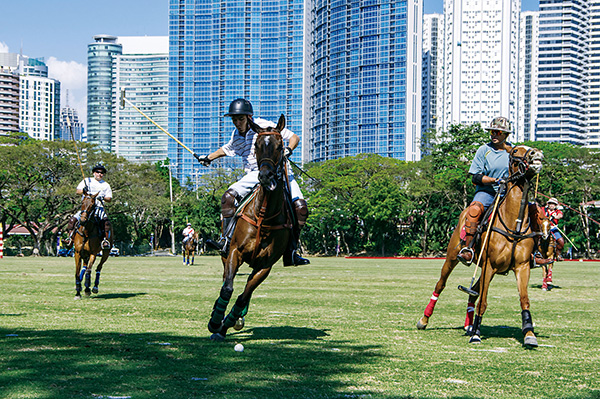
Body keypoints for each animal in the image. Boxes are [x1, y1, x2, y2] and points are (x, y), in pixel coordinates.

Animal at [207, 114, 294, 342]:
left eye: (280, 146)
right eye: (256, 145)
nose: (265, 176)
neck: (263, 215)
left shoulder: (265, 266)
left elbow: (243, 296)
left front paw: (226, 324)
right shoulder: (234, 252)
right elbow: (227, 289)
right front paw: (215, 323)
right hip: (226, 253)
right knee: (225, 281)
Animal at [418, 146, 544, 346]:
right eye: (515, 151)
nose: (536, 153)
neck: (513, 223)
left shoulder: (522, 266)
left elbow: (524, 300)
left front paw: (529, 334)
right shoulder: (489, 265)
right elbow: (483, 301)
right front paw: (476, 333)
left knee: (473, 292)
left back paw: (468, 325)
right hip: (453, 257)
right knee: (441, 284)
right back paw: (424, 320)